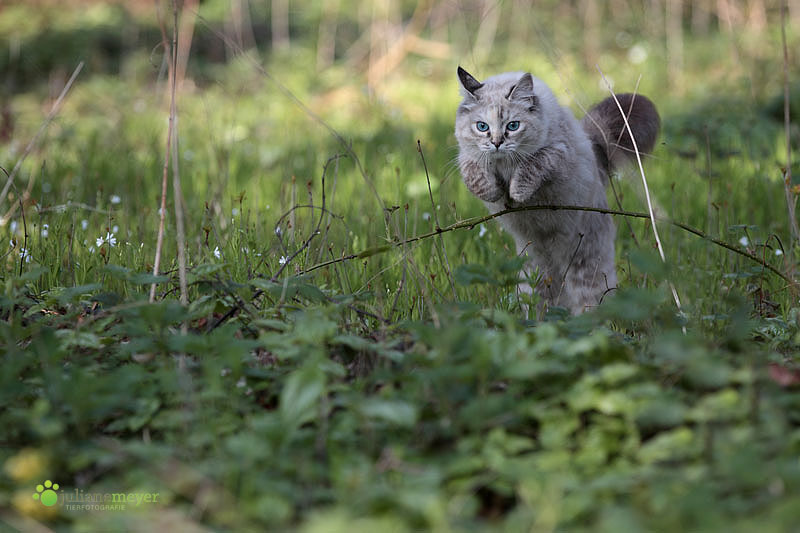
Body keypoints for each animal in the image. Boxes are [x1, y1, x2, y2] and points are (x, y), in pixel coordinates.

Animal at [454, 68, 660, 314]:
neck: (504, 164)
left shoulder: (556, 153)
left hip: (584, 262)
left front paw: (517, 193)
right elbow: (474, 175)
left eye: (513, 126)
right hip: (534, 270)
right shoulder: (466, 156)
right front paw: (493, 192)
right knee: (545, 300)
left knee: (592, 300)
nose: (496, 143)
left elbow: (531, 165)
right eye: (482, 127)